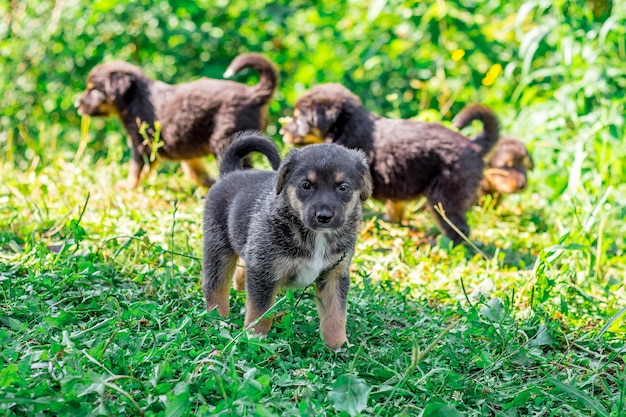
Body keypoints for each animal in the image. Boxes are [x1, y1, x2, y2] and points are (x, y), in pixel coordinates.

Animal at [75, 52, 276, 188]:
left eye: (92, 89)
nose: (77, 104)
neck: (133, 97)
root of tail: (252, 94)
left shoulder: (144, 146)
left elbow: (136, 172)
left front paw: (126, 187)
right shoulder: (187, 148)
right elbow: (195, 172)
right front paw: (207, 184)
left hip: (225, 138)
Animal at [202, 132, 370, 346]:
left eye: (343, 187)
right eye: (305, 185)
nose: (324, 216)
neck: (315, 236)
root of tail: (231, 173)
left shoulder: (335, 274)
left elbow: (336, 314)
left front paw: (338, 345)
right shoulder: (263, 271)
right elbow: (261, 310)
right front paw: (255, 337)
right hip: (218, 248)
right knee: (215, 287)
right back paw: (218, 320)